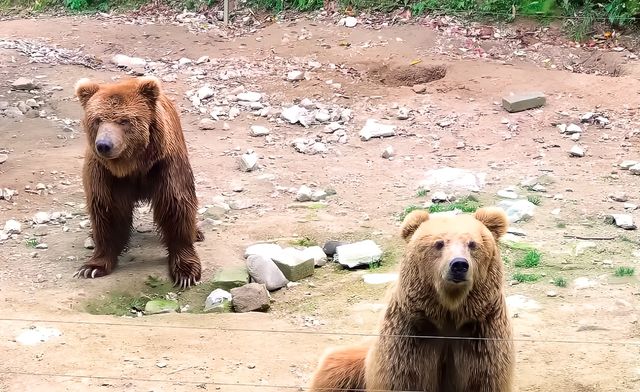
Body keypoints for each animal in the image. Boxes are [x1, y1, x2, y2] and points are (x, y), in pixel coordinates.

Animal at [74, 76, 205, 288]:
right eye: (97, 120)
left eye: (124, 121)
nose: (104, 145)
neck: (132, 166)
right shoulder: (105, 174)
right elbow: (108, 211)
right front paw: (92, 267)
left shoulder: (164, 164)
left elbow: (175, 205)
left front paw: (186, 272)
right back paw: (92, 236)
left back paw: (197, 232)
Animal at [308, 207, 516, 390]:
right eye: (439, 243)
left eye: (472, 244)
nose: (458, 265)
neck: (449, 310)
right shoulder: (411, 337)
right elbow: (403, 378)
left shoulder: (480, 334)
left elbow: (483, 378)